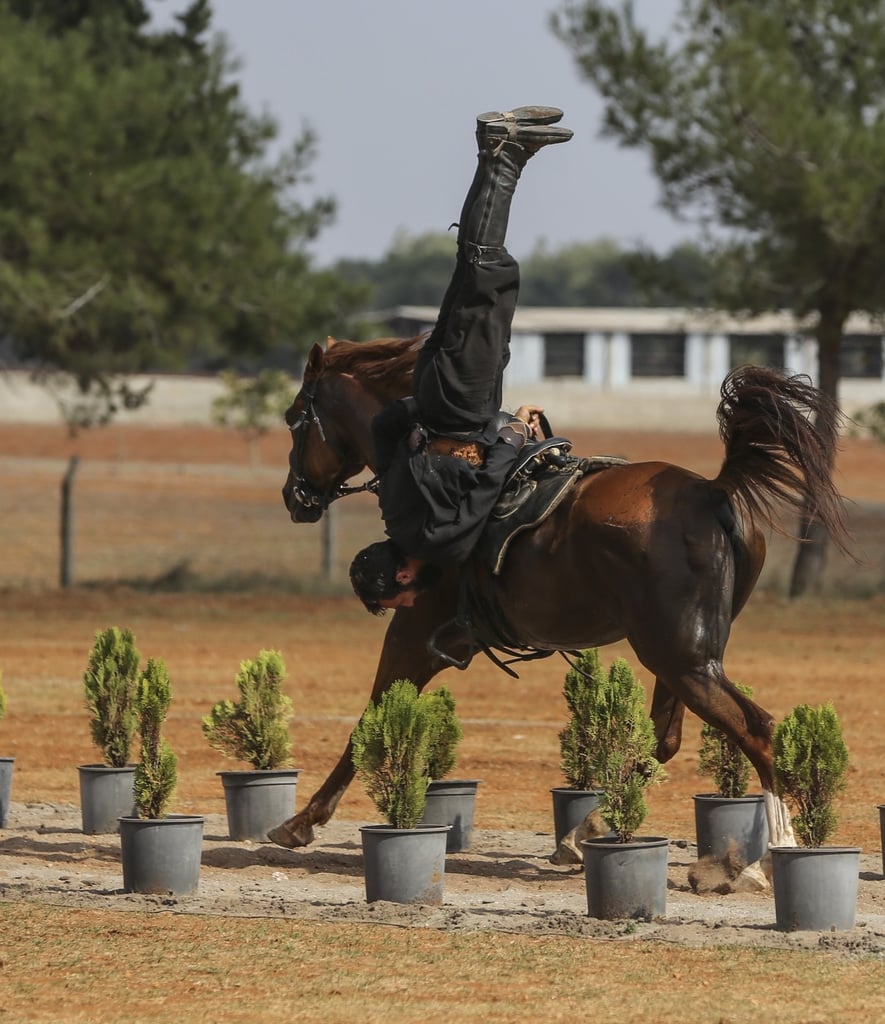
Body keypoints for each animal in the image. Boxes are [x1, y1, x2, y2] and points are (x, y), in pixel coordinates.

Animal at [266, 331, 848, 851]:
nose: (294, 496)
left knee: (757, 731)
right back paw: (588, 829)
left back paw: (773, 844)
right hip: (683, 660)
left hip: (682, 660)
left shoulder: (413, 632)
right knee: (668, 736)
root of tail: (711, 491)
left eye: (295, 418)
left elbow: (369, 720)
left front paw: (302, 821)